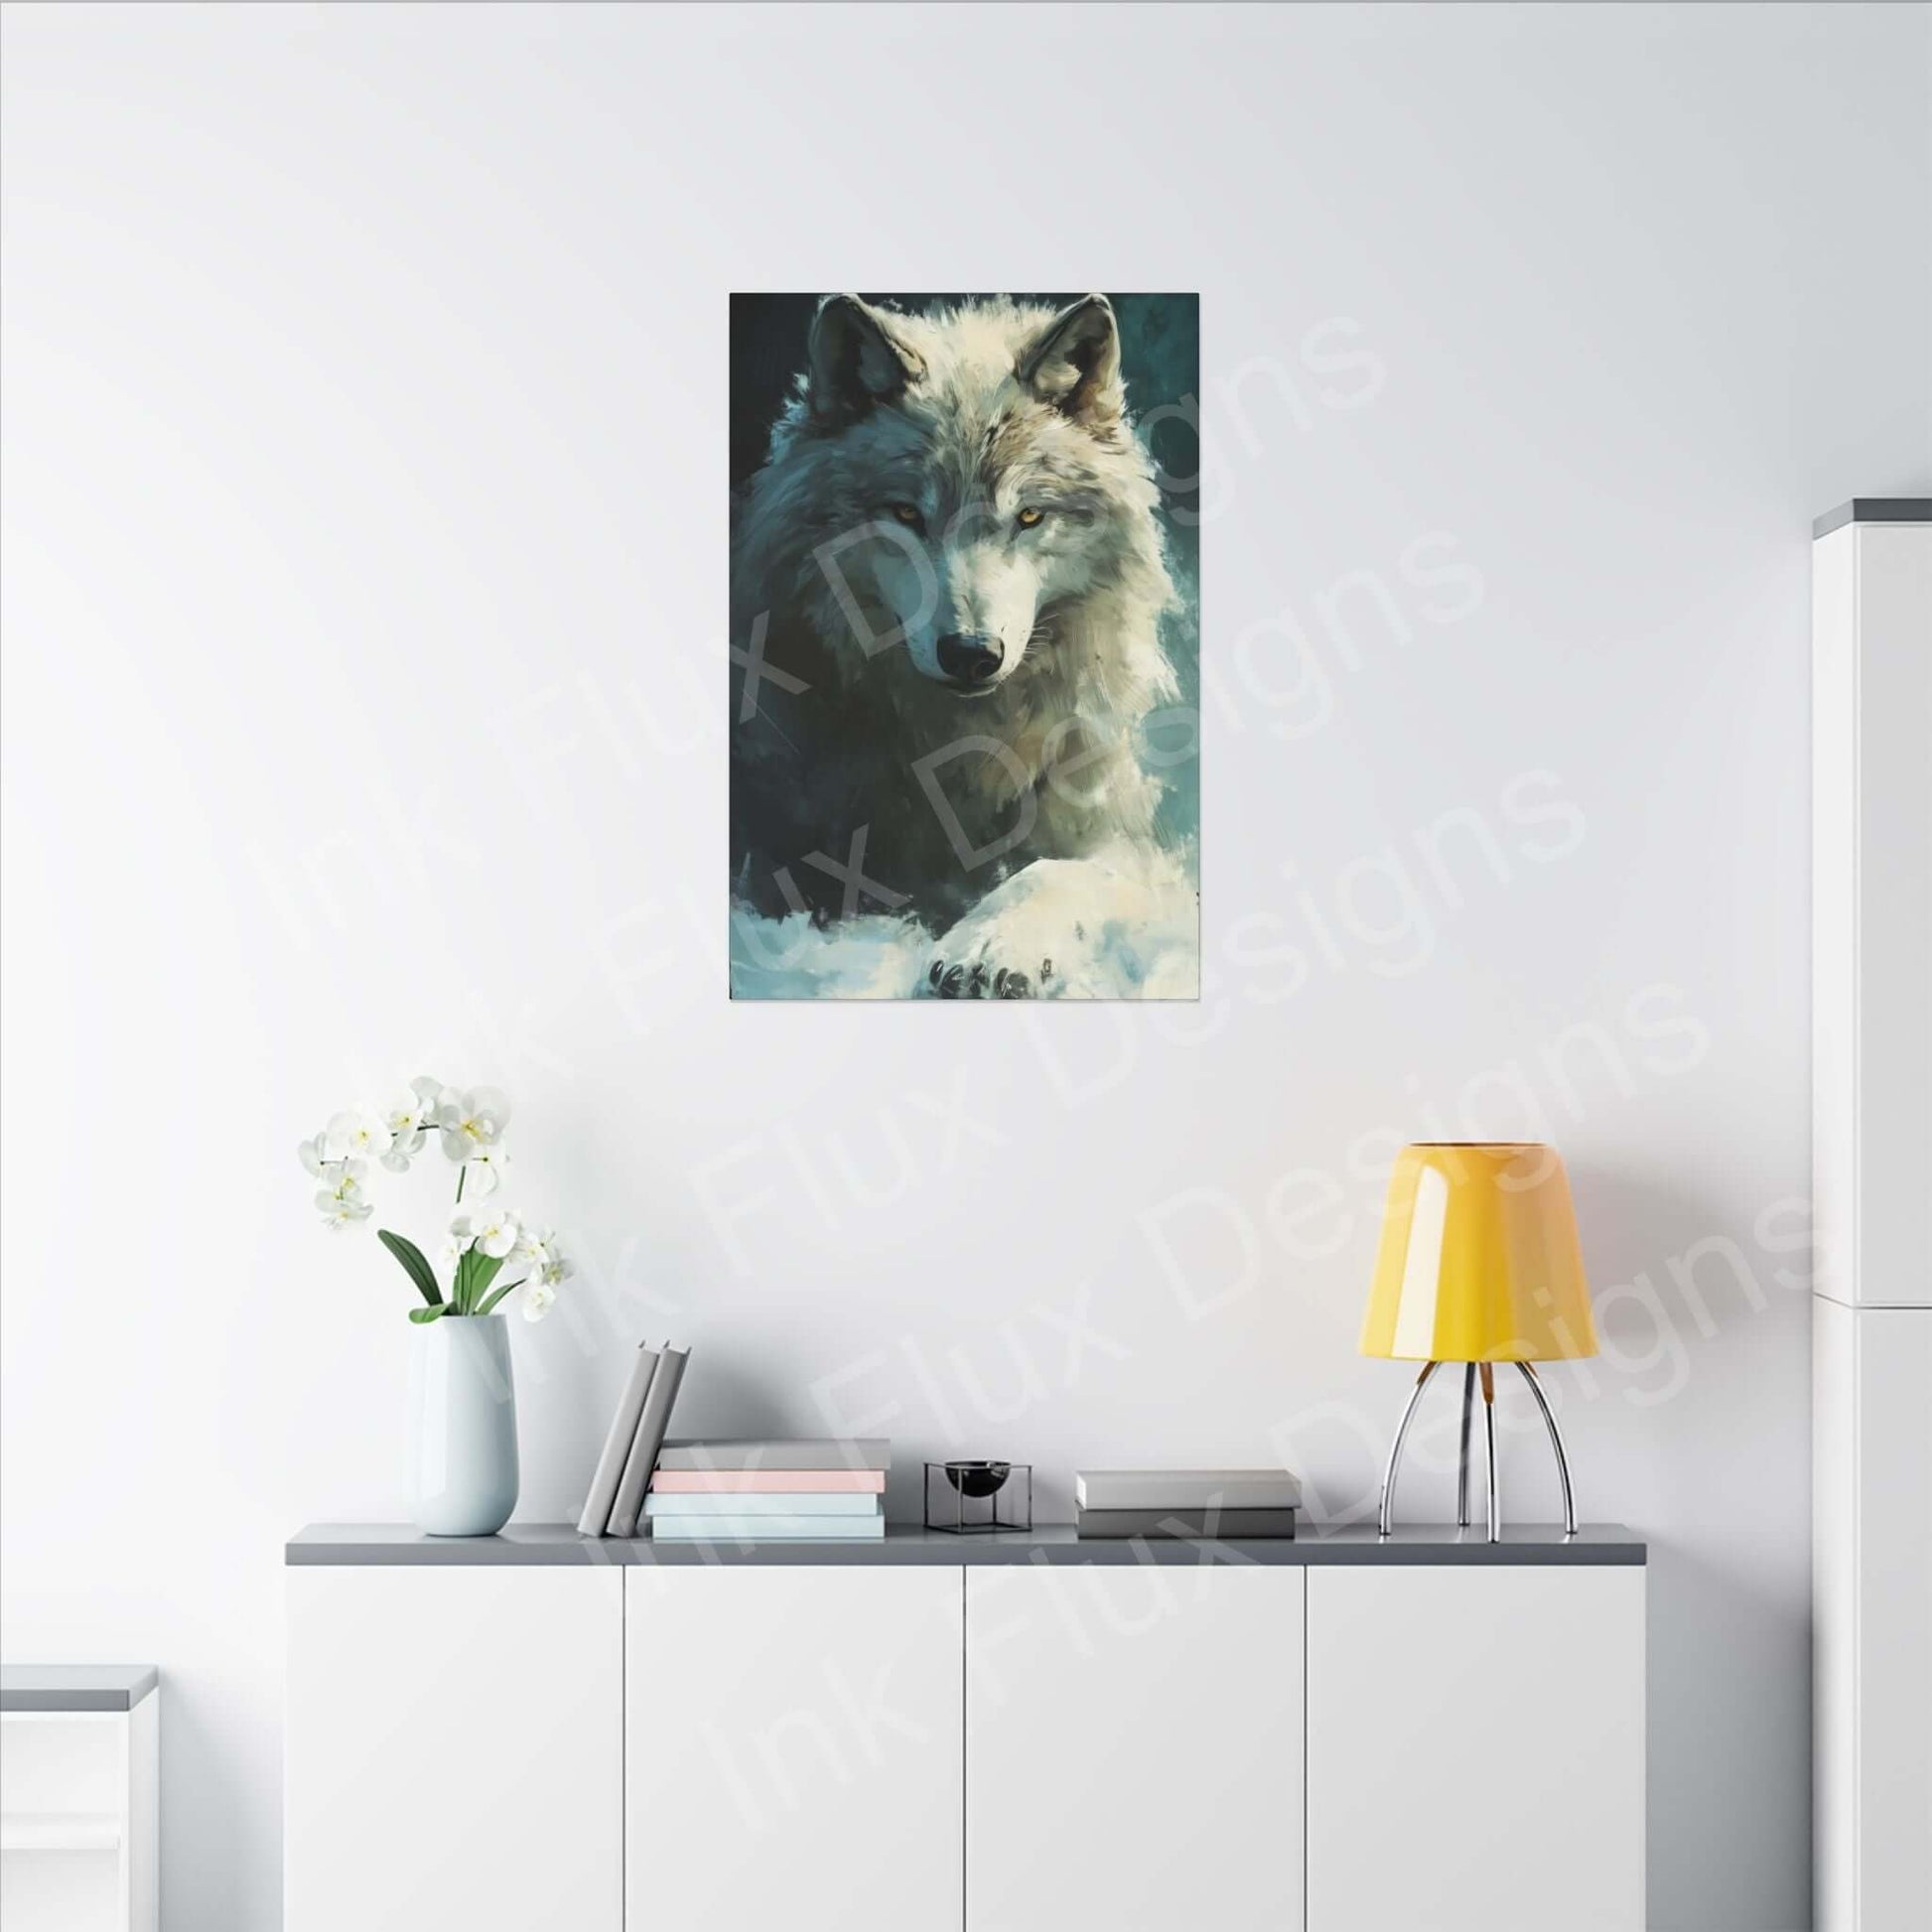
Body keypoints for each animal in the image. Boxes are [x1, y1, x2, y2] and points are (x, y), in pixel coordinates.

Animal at [730, 292, 1196, 997]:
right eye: (906, 514)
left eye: (1028, 516)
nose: (972, 654)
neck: (959, 754)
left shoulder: (1126, 846)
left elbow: (1053, 871)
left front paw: (991, 946)